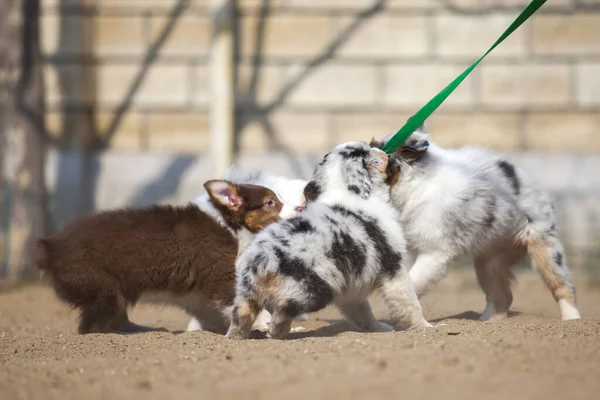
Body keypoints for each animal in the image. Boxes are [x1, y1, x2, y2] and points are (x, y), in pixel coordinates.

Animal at [36, 180, 282, 332]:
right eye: (270, 202)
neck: (230, 225)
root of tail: (51, 247)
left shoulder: (200, 296)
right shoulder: (220, 276)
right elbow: (245, 302)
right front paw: (266, 324)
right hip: (102, 288)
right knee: (92, 327)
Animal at [226, 142, 432, 340]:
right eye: (366, 150)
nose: (382, 150)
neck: (347, 191)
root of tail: (262, 259)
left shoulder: (351, 292)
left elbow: (364, 313)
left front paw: (379, 329)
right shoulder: (394, 269)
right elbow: (408, 302)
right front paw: (425, 327)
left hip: (246, 294)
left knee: (241, 316)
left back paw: (236, 338)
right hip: (315, 289)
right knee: (285, 306)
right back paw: (278, 333)